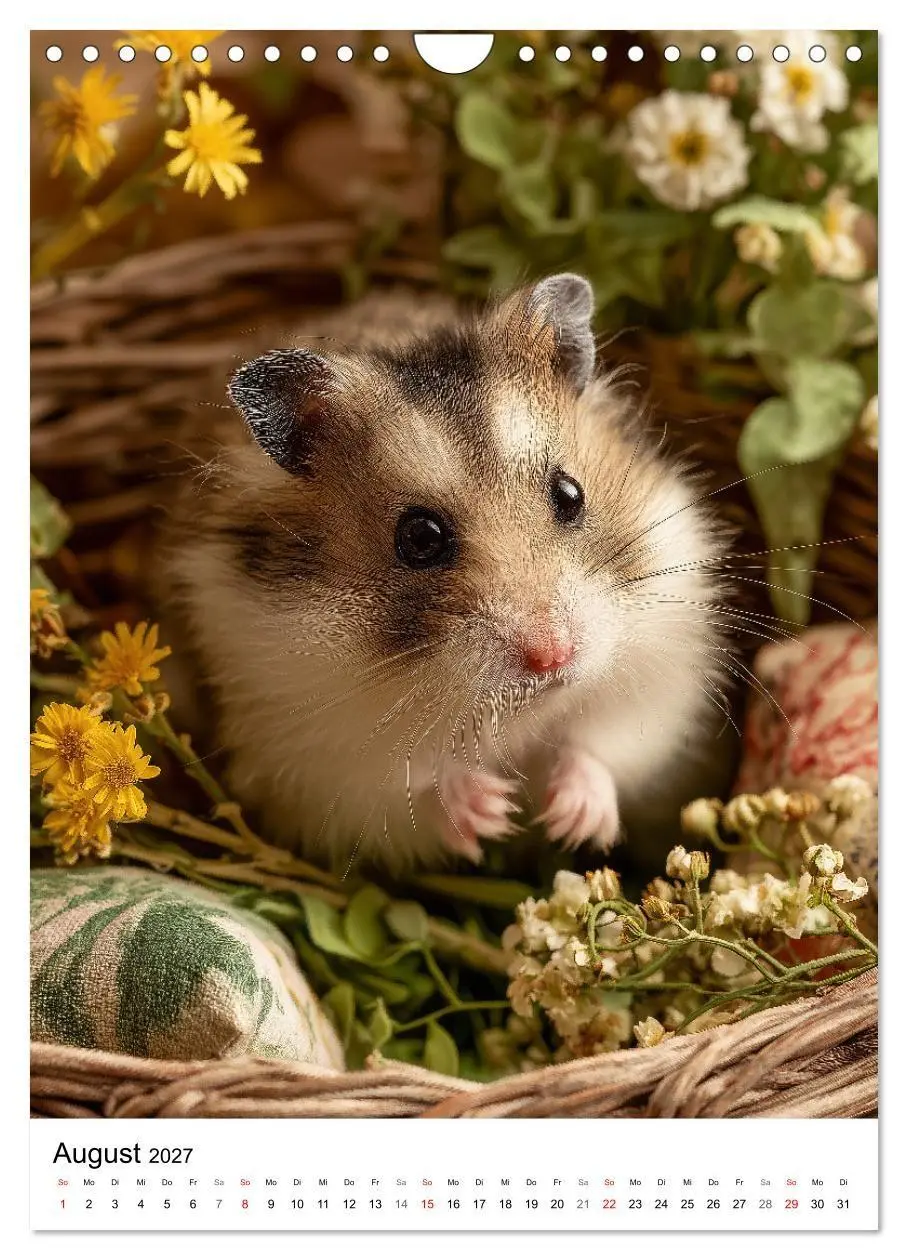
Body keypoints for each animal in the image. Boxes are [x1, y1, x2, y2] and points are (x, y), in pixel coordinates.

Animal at [162, 275, 732, 872]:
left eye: (570, 493)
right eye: (419, 538)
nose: (552, 656)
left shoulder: (660, 683)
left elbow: (604, 746)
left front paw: (570, 824)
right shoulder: (312, 761)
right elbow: (408, 795)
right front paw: (495, 811)